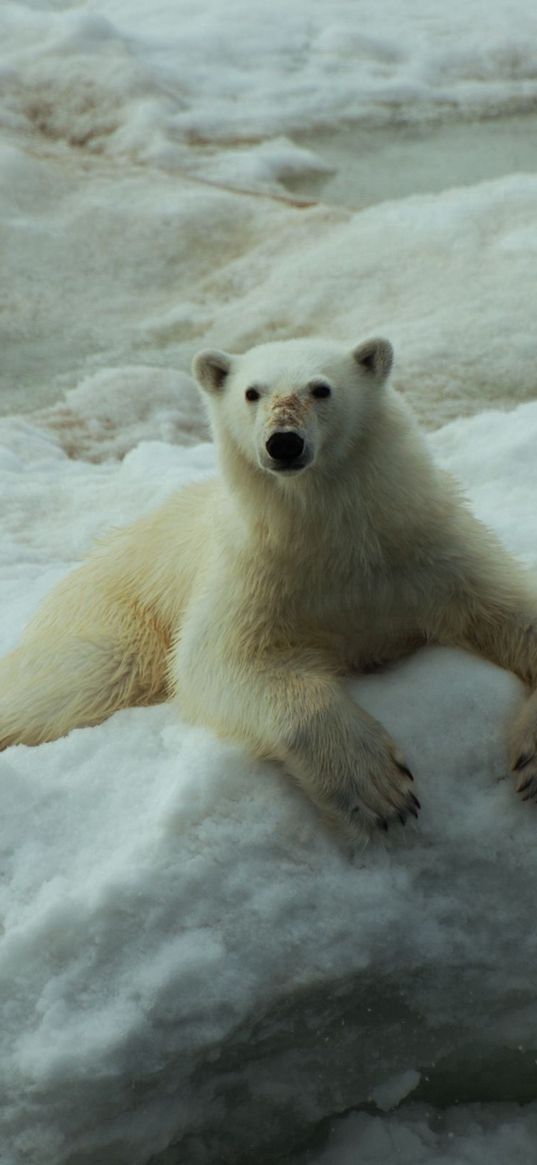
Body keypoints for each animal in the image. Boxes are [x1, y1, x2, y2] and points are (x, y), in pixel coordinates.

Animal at [3, 337, 535, 838]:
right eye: (251, 392)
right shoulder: (255, 574)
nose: (284, 443)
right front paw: (381, 791)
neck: (337, 538)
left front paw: (529, 760)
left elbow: (511, 610)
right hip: (113, 616)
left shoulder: (427, 550)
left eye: (321, 388)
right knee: (74, 683)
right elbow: (222, 662)